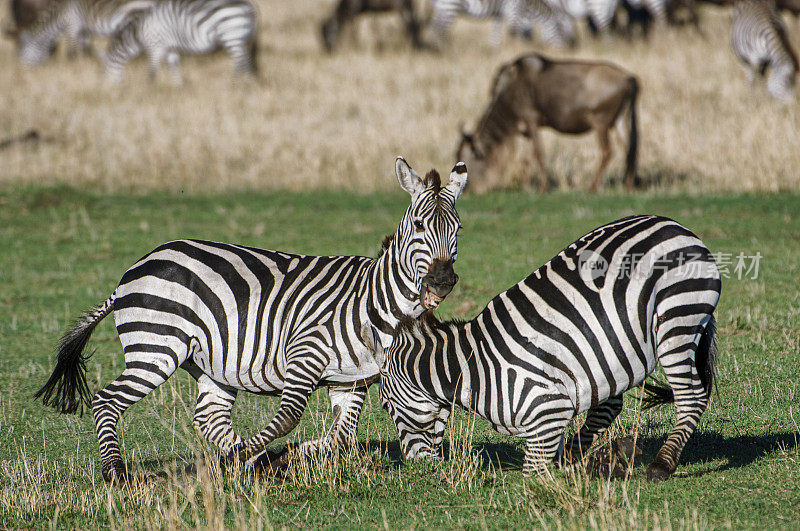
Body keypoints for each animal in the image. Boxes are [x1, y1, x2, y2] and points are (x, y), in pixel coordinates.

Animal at [17, 0, 156, 65]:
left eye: (23, 54)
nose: (22, 72)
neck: (59, 14)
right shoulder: (85, 32)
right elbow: (87, 50)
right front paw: (87, 65)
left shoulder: (73, 26)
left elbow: (72, 52)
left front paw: (73, 68)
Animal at [34, 157, 468, 482]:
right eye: (419, 226)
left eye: (458, 230)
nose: (443, 282)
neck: (376, 302)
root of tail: (140, 264)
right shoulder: (304, 353)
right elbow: (290, 418)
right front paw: (281, 453)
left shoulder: (352, 380)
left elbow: (342, 438)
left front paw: (289, 456)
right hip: (155, 347)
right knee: (107, 399)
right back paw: (117, 474)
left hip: (208, 362)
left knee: (209, 417)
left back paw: (246, 463)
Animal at [103, 0, 260, 83]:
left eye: (108, 70)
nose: (112, 92)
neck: (138, 32)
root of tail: (249, 7)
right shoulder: (170, 48)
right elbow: (174, 66)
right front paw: (177, 87)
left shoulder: (156, 46)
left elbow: (152, 70)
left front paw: (150, 89)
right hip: (243, 37)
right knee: (246, 60)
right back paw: (247, 83)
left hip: (232, 35)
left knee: (239, 61)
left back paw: (234, 84)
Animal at [366, 214, 720, 480]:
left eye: (385, 404)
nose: (414, 466)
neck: (474, 369)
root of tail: (676, 226)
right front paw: (600, 462)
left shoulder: (549, 409)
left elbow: (532, 476)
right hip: (617, 349)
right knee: (609, 405)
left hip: (677, 319)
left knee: (692, 397)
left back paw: (661, 464)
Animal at [428, 0, 580, 48]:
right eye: (560, 30)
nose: (565, 50)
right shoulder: (513, 10)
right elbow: (514, 32)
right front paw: (514, 51)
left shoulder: (499, 15)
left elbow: (496, 34)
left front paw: (494, 52)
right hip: (450, 5)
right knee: (439, 29)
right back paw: (446, 51)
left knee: (436, 27)